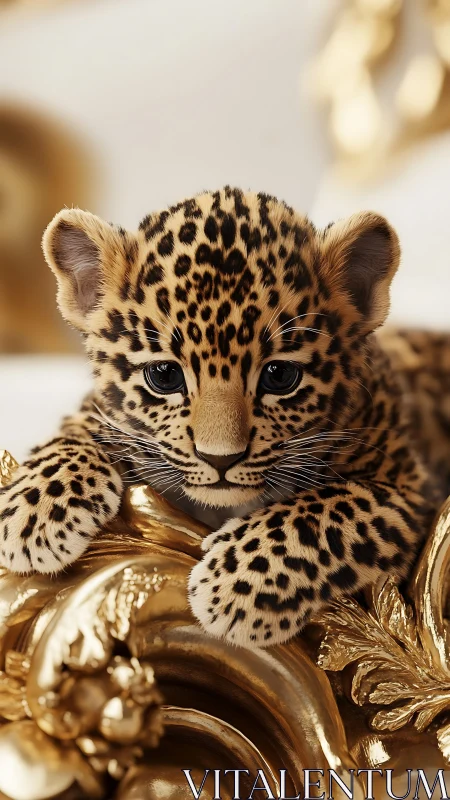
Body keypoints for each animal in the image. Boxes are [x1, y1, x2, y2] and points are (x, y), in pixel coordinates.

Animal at [1, 186, 449, 649]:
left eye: (279, 376)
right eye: (164, 375)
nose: (220, 459)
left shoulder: (409, 492)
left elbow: (328, 508)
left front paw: (233, 586)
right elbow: (85, 423)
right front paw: (35, 512)